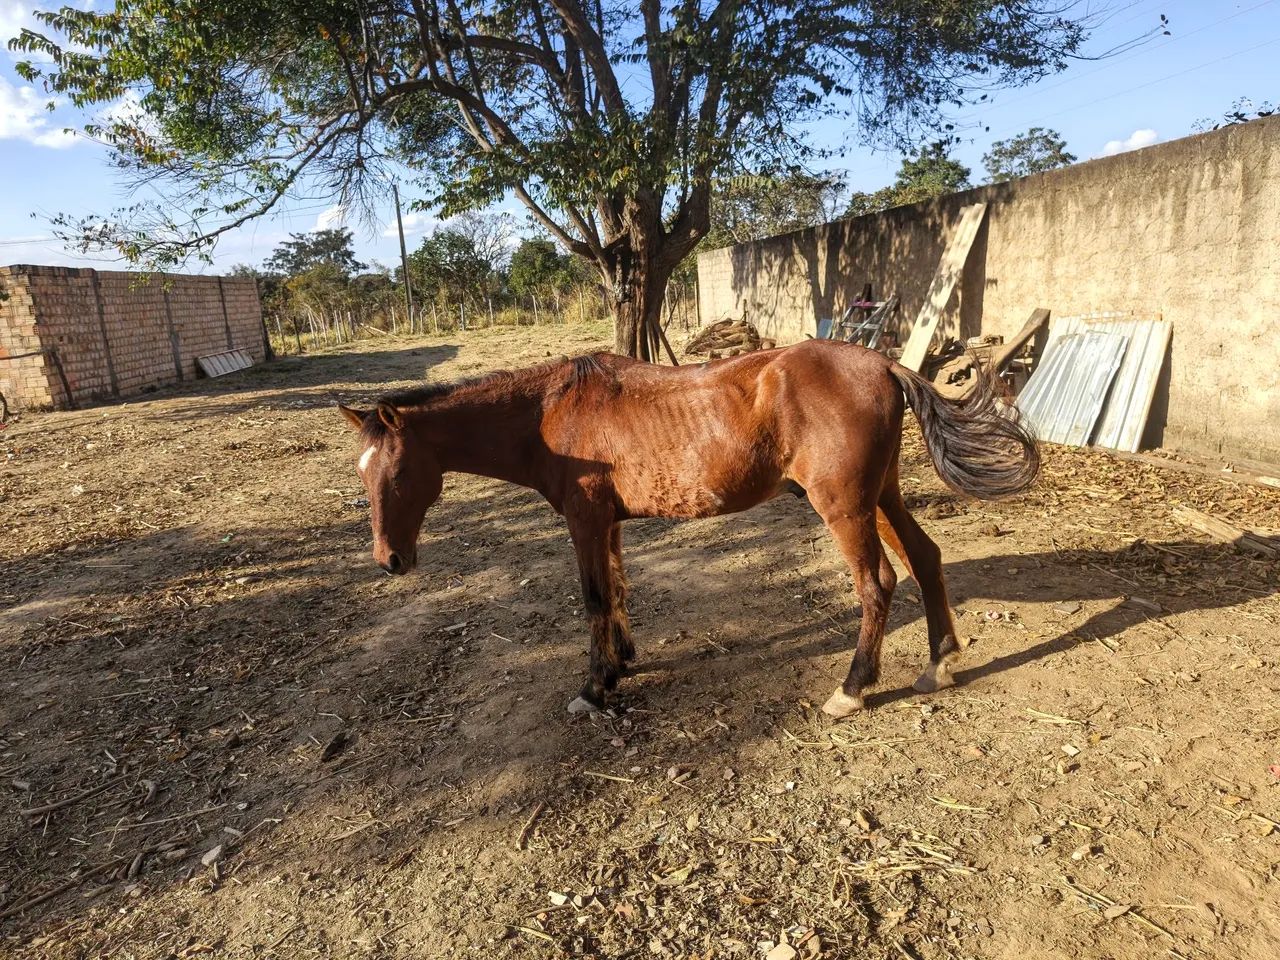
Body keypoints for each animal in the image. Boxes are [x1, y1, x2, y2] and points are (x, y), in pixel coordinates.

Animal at [337, 339, 1039, 718]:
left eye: (398, 473)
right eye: (361, 472)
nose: (389, 560)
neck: (551, 413)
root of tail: (884, 366)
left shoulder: (586, 522)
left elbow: (595, 598)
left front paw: (594, 687)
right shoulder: (608, 524)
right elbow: (618, 591)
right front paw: (621, 662)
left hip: (844, 508)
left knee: (879, 585)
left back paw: (851, 690)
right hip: (881, 497)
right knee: (926, 559)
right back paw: (940, 663)